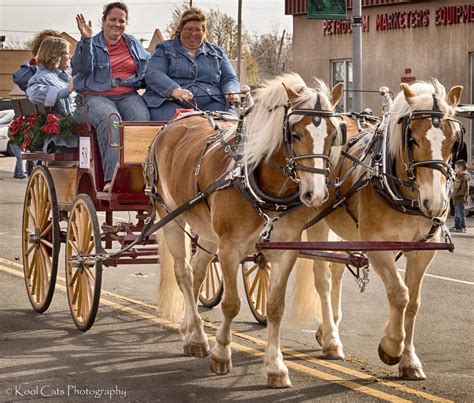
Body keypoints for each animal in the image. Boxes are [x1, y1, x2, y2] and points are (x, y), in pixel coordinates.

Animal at [144, 72, 344, 388]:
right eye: (295, 134)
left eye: (334, 135)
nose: (316, 195)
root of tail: (175, 123)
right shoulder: (230, 248)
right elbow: (231, 304)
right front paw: (221, 354)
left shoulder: (285, 251)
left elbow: (275, 307)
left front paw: (275, 366)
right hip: (171, 217)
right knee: (184, 274)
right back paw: (198, 337)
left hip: (207, 232)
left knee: (198, 272)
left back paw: (189, 330)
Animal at [292, 79, 462, 382]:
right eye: (412, 139)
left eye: (454, 141)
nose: (436, 203)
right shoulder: (377, 247)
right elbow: (399, 293)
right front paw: (391, 347)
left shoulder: (423, 251)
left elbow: (413, 302)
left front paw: (409, 361)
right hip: (317, 218)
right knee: (322, 277)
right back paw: (332, 341)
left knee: (336, 270)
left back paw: (327, 329)